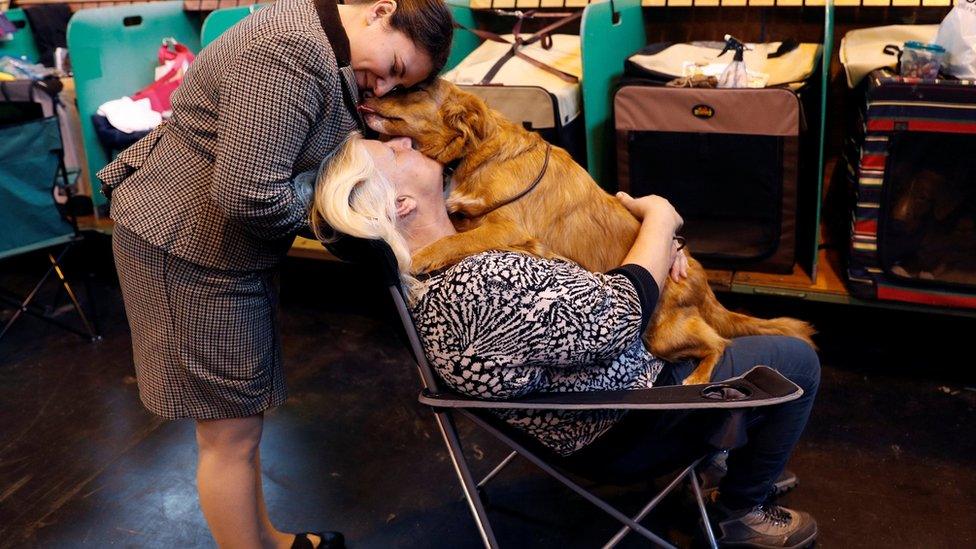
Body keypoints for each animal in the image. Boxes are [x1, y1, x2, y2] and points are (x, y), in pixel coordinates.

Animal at [362, 78, 812, 386]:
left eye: (412, 89)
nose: (366, 90)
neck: (478, 154)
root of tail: (703, 281)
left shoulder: (509, 227)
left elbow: (458, 238)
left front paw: (422, 255)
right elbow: (459, 229)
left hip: (661, 333)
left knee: (720, 343)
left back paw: (699, 377)